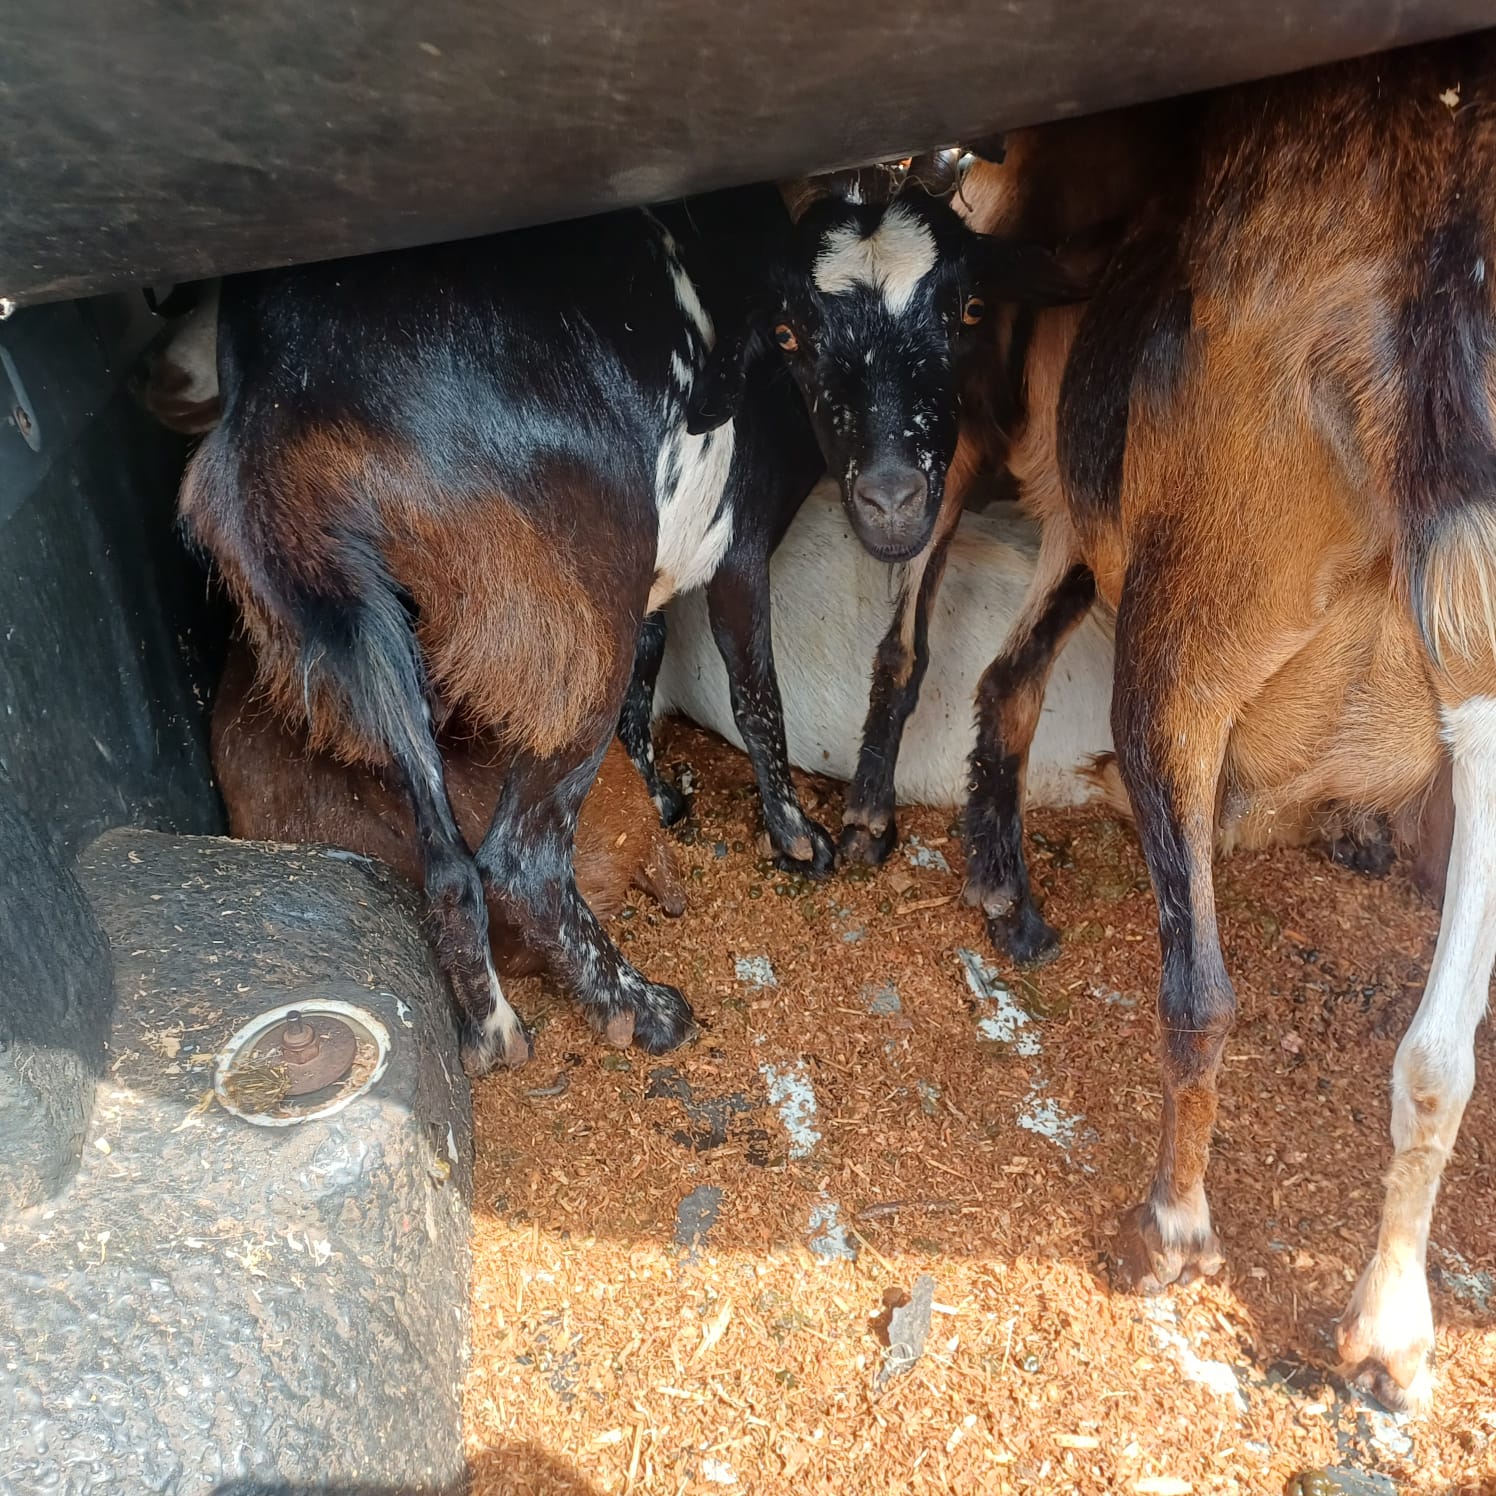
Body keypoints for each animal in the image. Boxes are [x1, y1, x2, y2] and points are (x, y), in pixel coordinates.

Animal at [697, 41, 1494, 1412]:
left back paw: (1169, 1227)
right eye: (796, 329)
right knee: (1433, 1048)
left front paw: (890, 823)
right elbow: (983, 669)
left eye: (953, 316)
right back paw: (1386, 1325)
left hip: (1180, 625)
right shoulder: (1053, 491)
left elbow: (926, 650)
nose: (882, 495)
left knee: (1199, 985)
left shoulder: (989, 443)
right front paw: (973, 863)